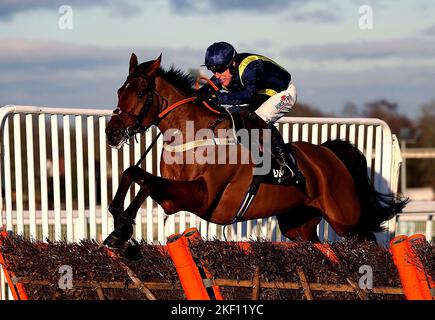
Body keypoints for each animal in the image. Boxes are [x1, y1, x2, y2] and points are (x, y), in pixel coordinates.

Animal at [103, 53, 408, 250]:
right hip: (299, 223)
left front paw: (121, 229)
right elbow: (134, 173)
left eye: (140, 93)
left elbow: (147, 181)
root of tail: (329, 154)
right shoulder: (173, 199)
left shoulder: (202, 196)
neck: (193, 135)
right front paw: (118, 224)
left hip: (345, 219)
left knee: (369, 239)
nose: (112, 132)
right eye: (119, 91)